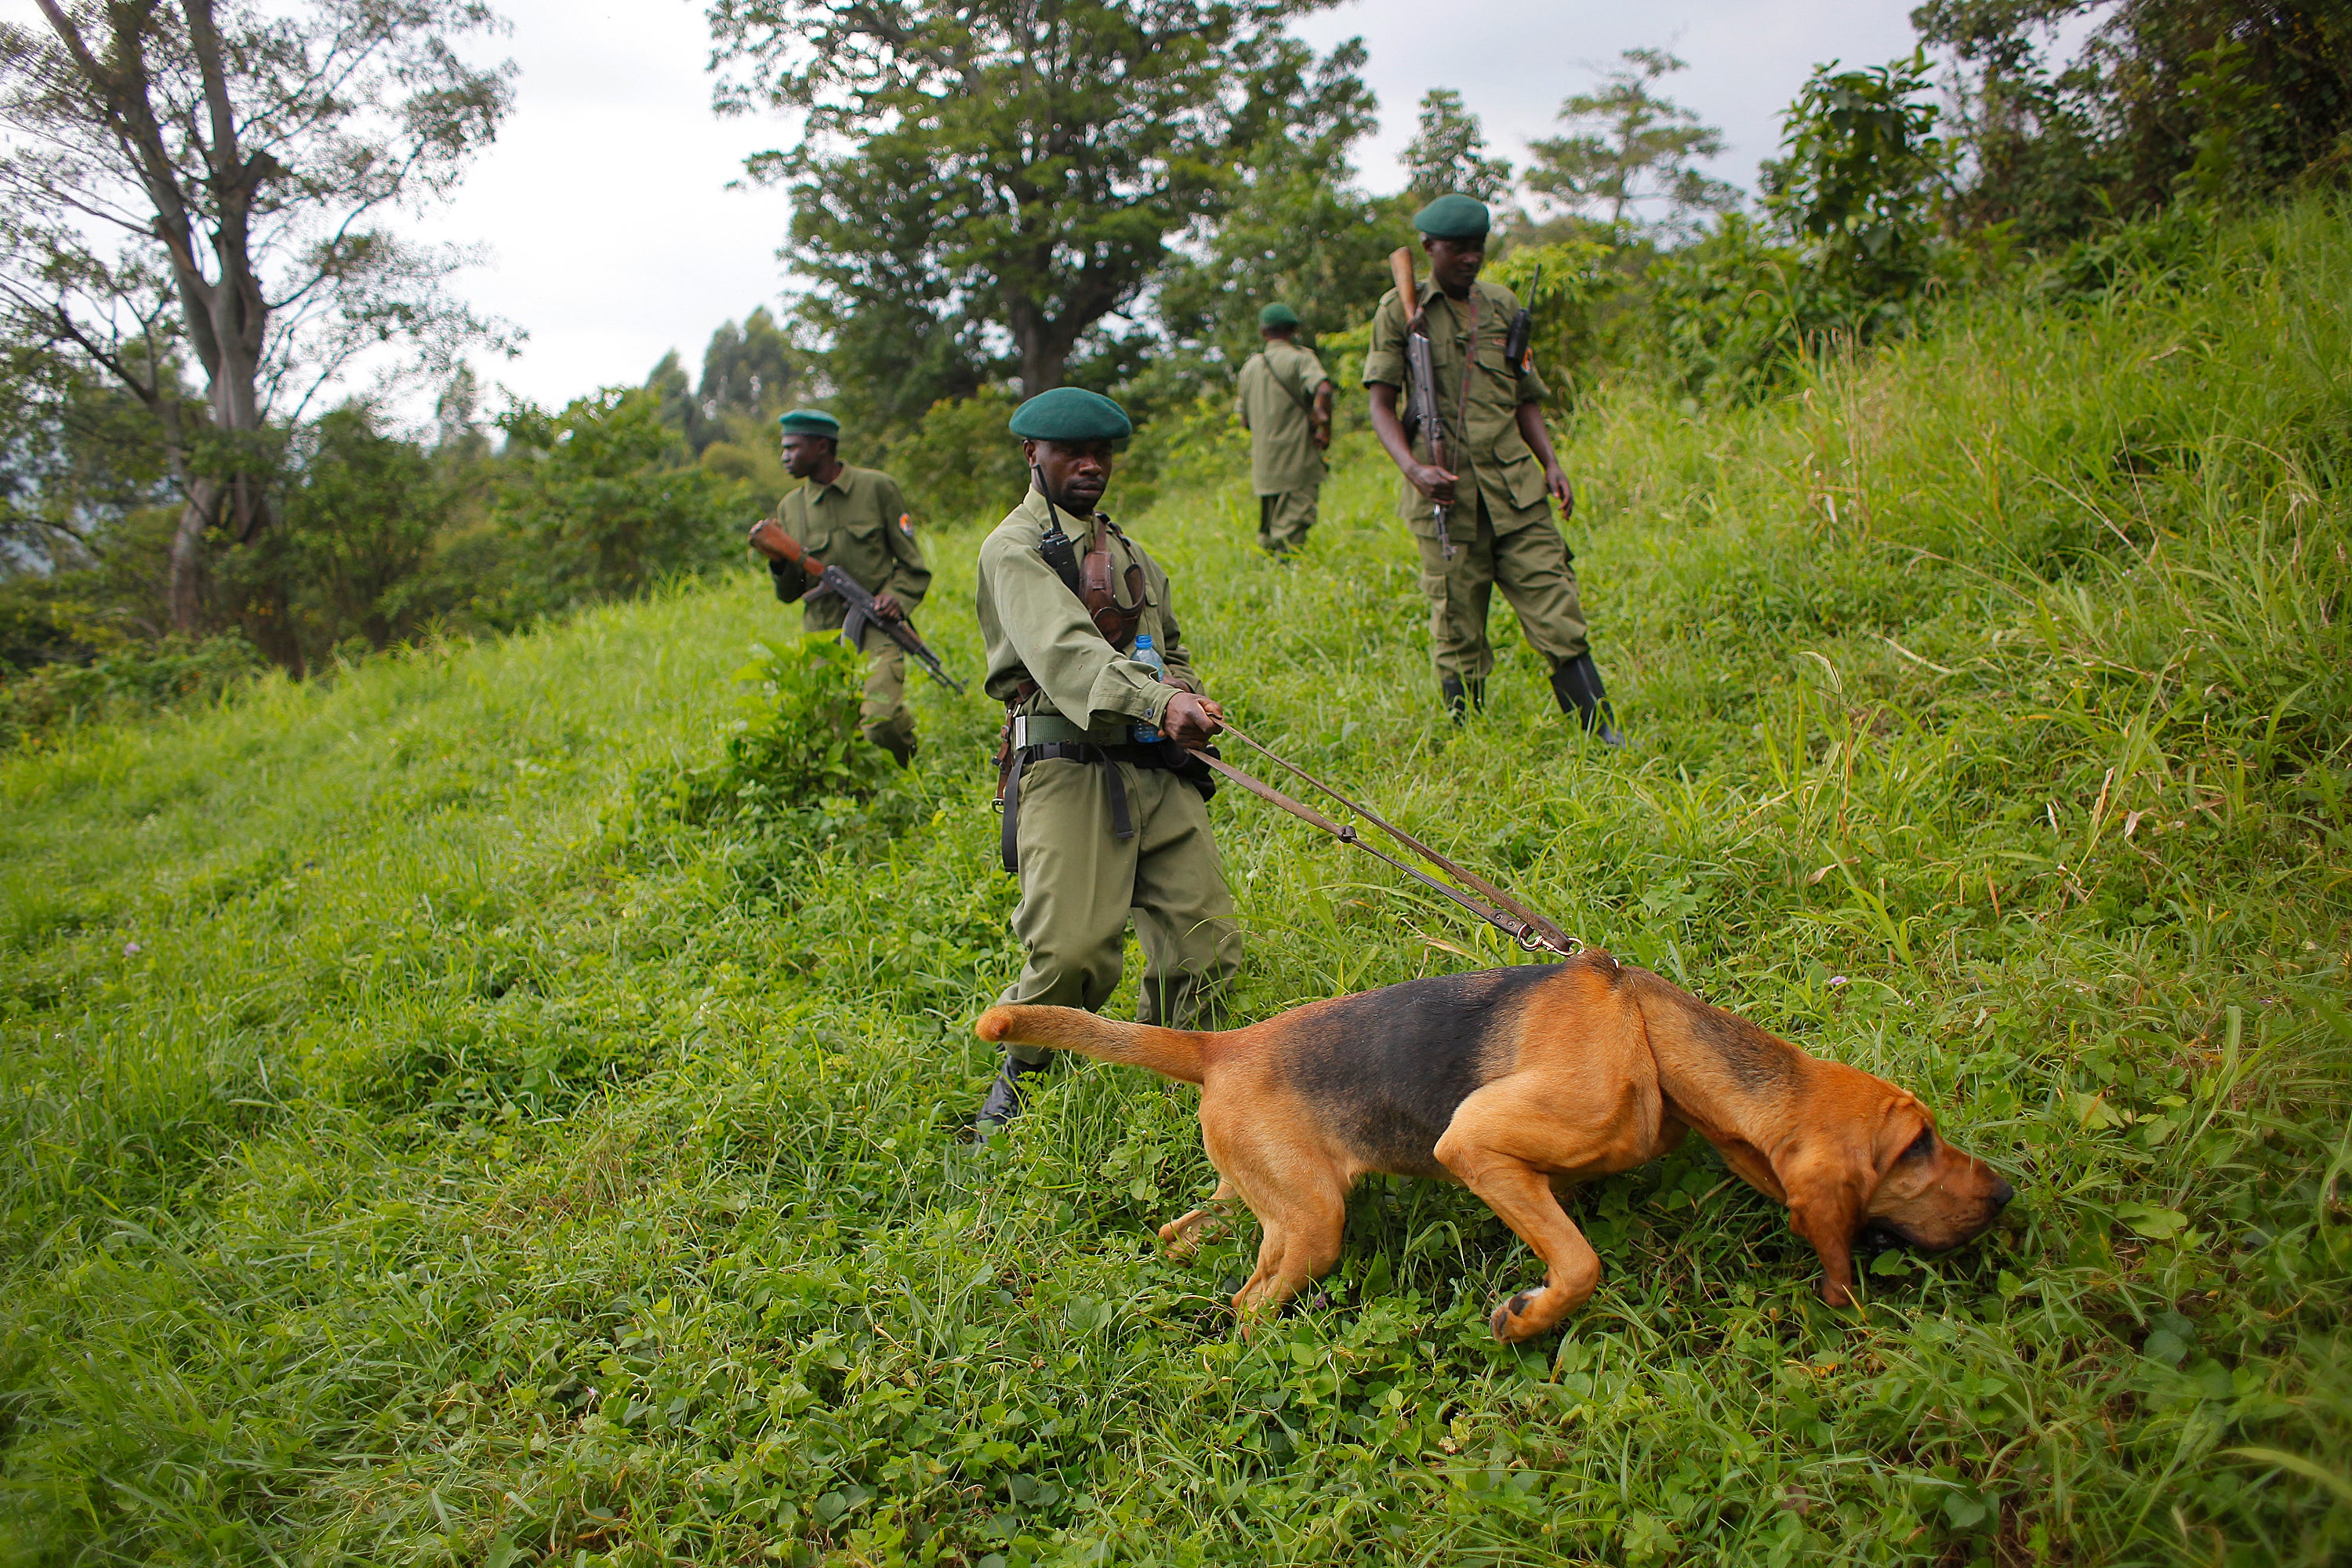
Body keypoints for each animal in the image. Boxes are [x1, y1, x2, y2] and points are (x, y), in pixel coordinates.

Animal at [969, 949, 2004, 1345]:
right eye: (1916, 1144)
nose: (2003, 1195)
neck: (1653, 1036)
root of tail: (1223, 1045)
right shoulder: (1475, 1144)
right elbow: (1580, 1264)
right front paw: (1527, 1316)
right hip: (1313, 1226)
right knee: (1247, 1305)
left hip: (1257, 1197)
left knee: (1182, 1232)